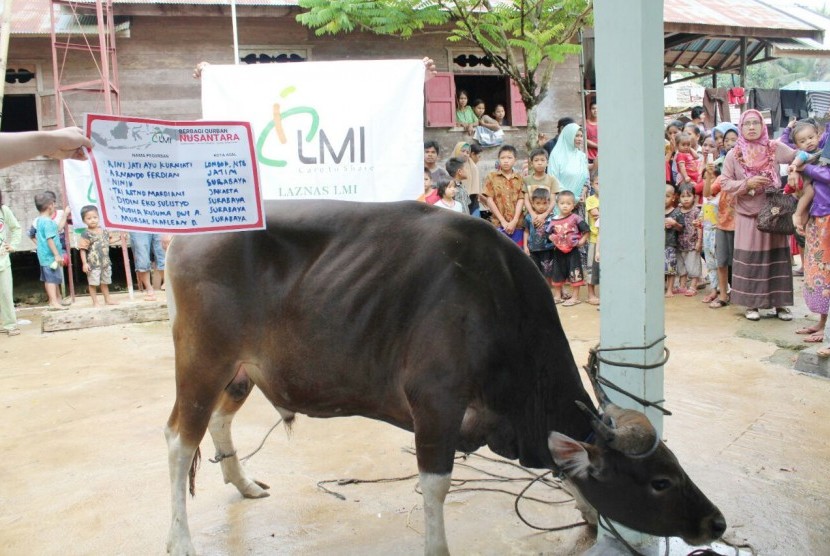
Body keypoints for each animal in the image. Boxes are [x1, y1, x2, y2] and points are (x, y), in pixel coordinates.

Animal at [164, 201, 728, 556]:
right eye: (660, 481)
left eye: (676, 465)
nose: (716, 522)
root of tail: (184, 239)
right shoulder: (435, 406)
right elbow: (435, 488)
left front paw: (588, 512)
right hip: (202, 361)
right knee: (178, 440)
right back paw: (180, 540)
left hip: (240, 372)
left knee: (218, 422)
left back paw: (243, 484)